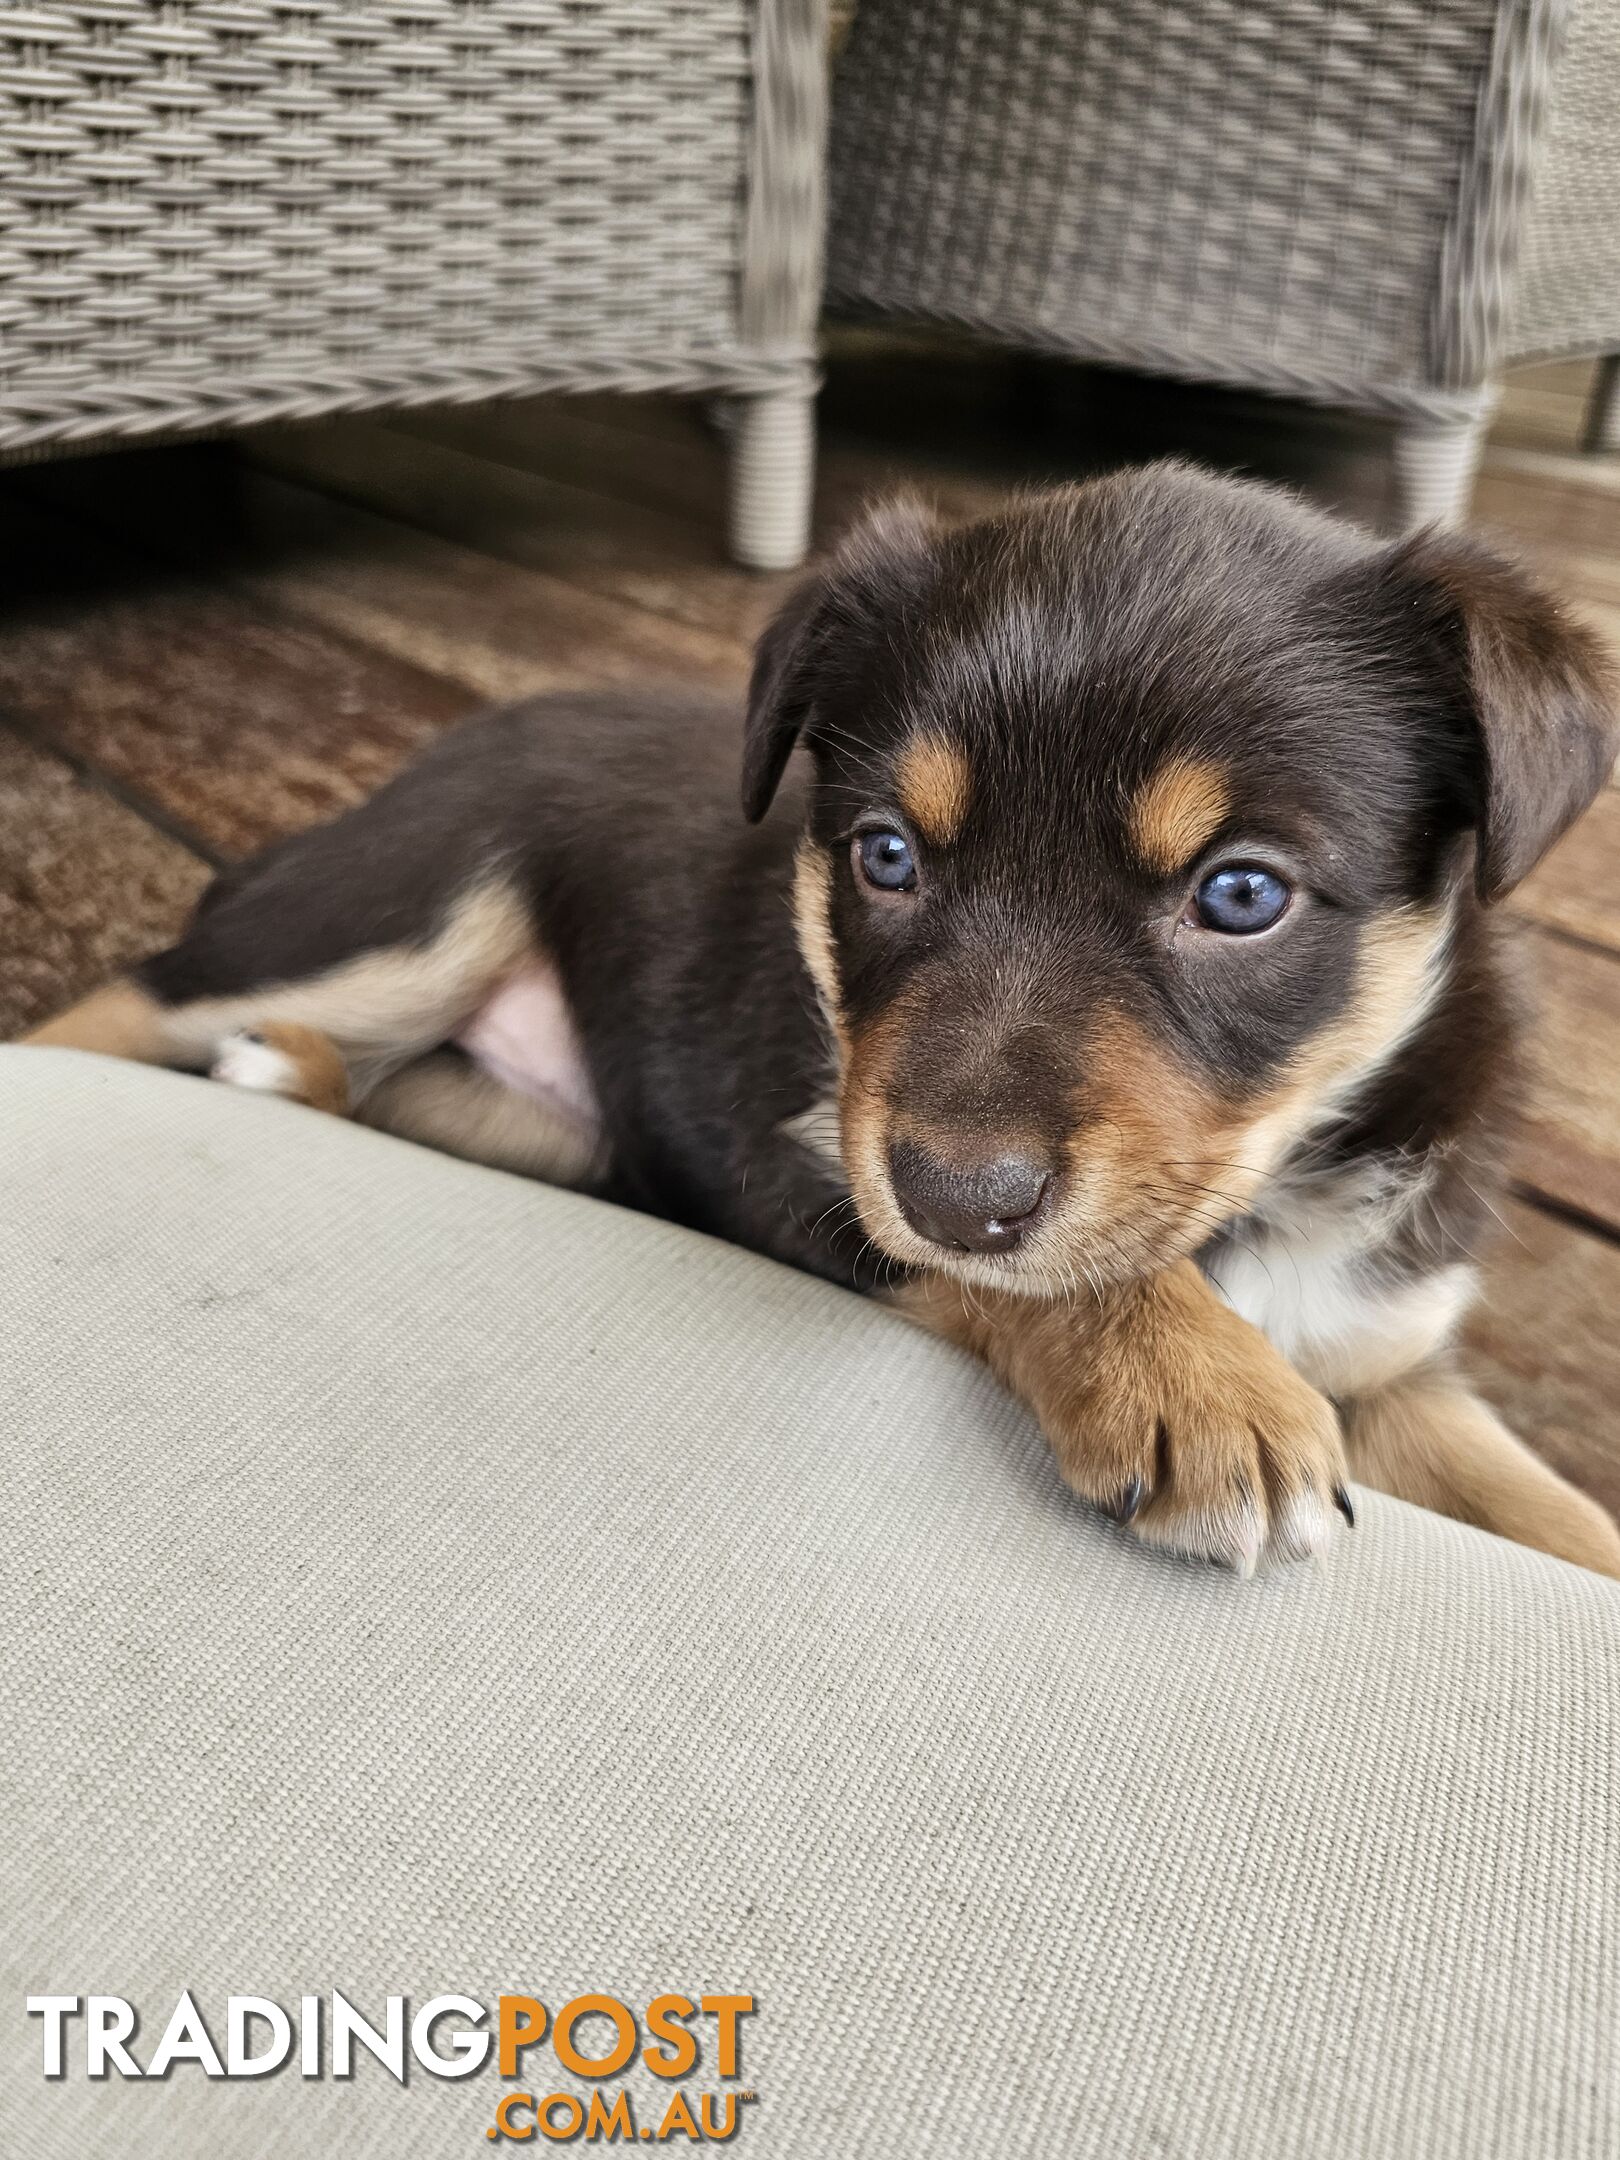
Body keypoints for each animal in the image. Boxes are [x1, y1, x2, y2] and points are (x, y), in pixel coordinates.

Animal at [25, 473, 1620, 1581]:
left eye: (1242, 894)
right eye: (885, 857)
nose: (954, 1194)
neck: (1270, 1197)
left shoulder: (1394, 1353)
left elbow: (1553, 1509)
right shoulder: (808, 1160)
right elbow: (1034, 1275)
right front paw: (1199, 1382)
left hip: (542, 1120)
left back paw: (285, 1078)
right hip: (408, 905)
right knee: (131, 997)